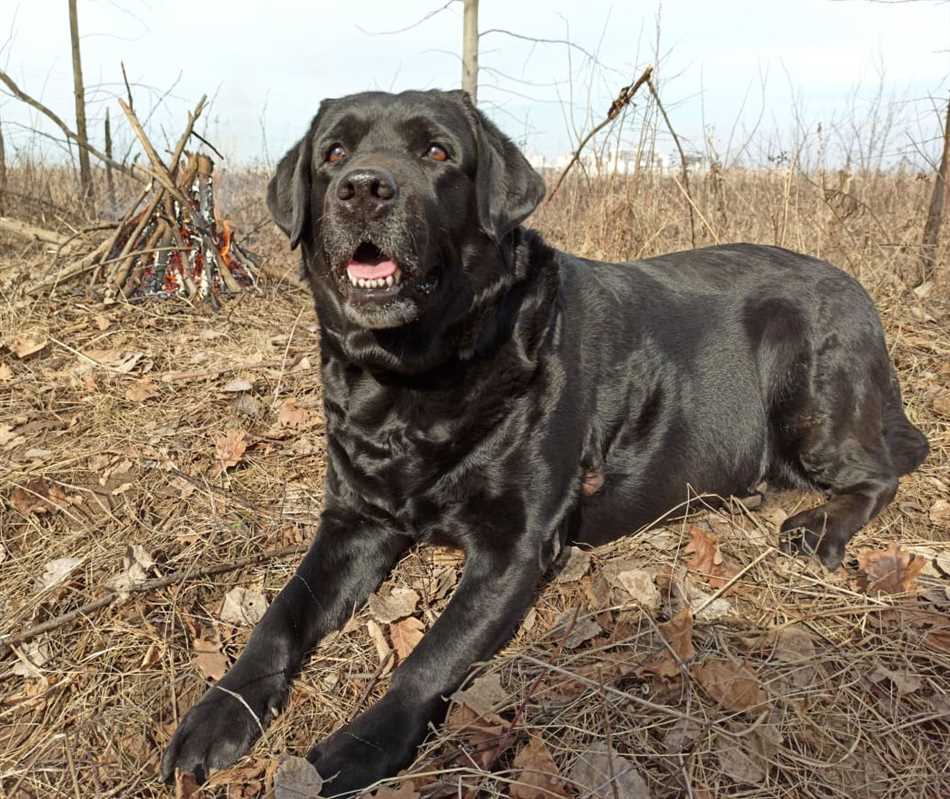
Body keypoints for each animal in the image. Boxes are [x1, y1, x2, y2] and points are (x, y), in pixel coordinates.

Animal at [162, 89, 928, 792]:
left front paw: (356, 748)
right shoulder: (356, 519)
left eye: (436, 152)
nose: (364, 189)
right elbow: (279, 616)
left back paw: (818, 528)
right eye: (334, 154)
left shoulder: (515, 545)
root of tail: (861, 298)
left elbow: (429, 659)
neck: (414, 380)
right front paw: (215, 714)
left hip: (810, 388)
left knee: (883, 470)